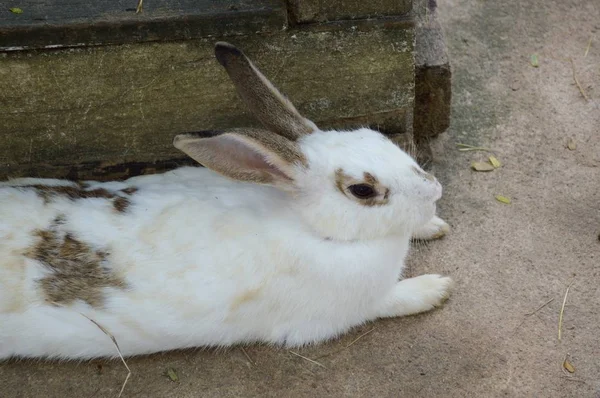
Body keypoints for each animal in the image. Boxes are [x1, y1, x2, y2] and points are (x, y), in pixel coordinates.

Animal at [0, 42, 450, 360]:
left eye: (376, 136)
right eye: (362, 190)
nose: (435, 191)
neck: (307, 225)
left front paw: (434, 225)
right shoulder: (344, 310)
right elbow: (394, 300)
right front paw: (436, 288)